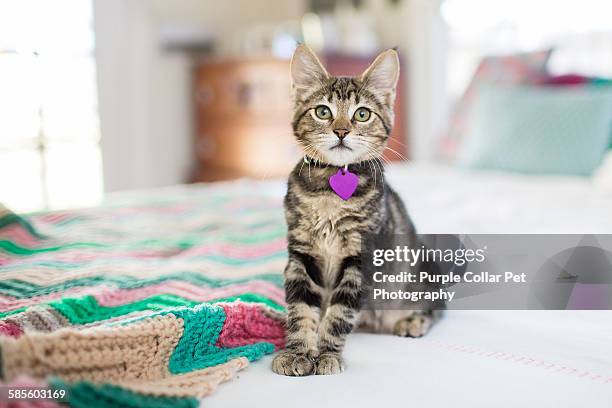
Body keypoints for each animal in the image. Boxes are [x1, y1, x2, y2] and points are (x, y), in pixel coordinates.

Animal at [272, 44, 440, 376]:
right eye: (323, 111)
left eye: (362, 114)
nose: (341, 131)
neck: (330, 192)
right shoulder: (301, 253)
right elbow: (300, 308)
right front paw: (298, 352)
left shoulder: (361, 257)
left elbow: (338, 315)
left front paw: (327, 355)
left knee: (437, 306)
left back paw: (412, 320)